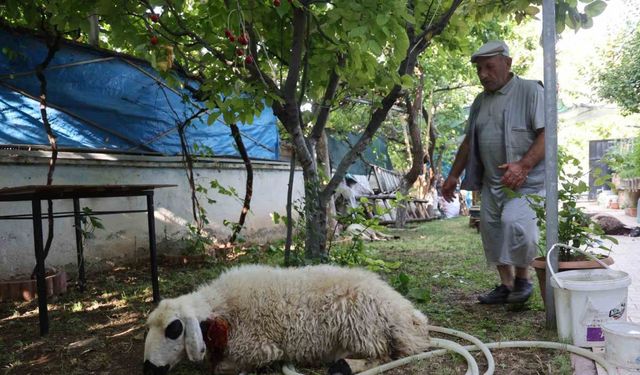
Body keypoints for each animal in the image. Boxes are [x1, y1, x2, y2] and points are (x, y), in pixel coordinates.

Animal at [145, 264, 430, 375]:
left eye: (174, 329)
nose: (148, 368)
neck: (223, 307)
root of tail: (407, 315)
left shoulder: (259, 348)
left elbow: (222, 368)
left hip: (361, 328)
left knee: (383, 355)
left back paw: (344, 365)